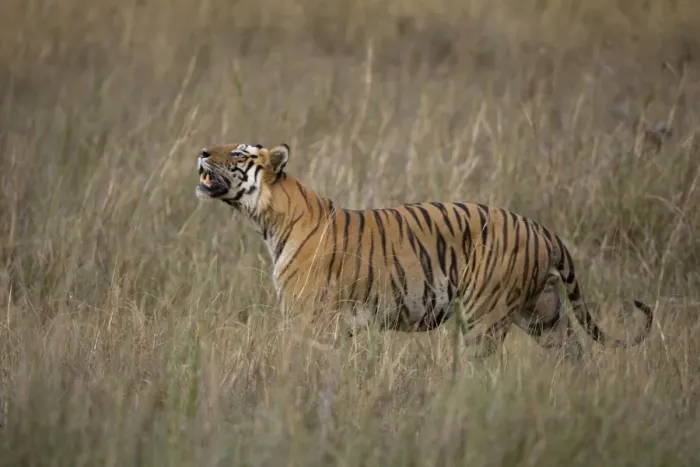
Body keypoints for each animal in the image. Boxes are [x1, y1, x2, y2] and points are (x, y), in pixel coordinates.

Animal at [195, 142, 654, 359]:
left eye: (238, 152)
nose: (200, 151)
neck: (269, 220)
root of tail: (541, 229)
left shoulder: (310, 320)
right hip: (544, 313)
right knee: (575, 353)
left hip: (485, 317)